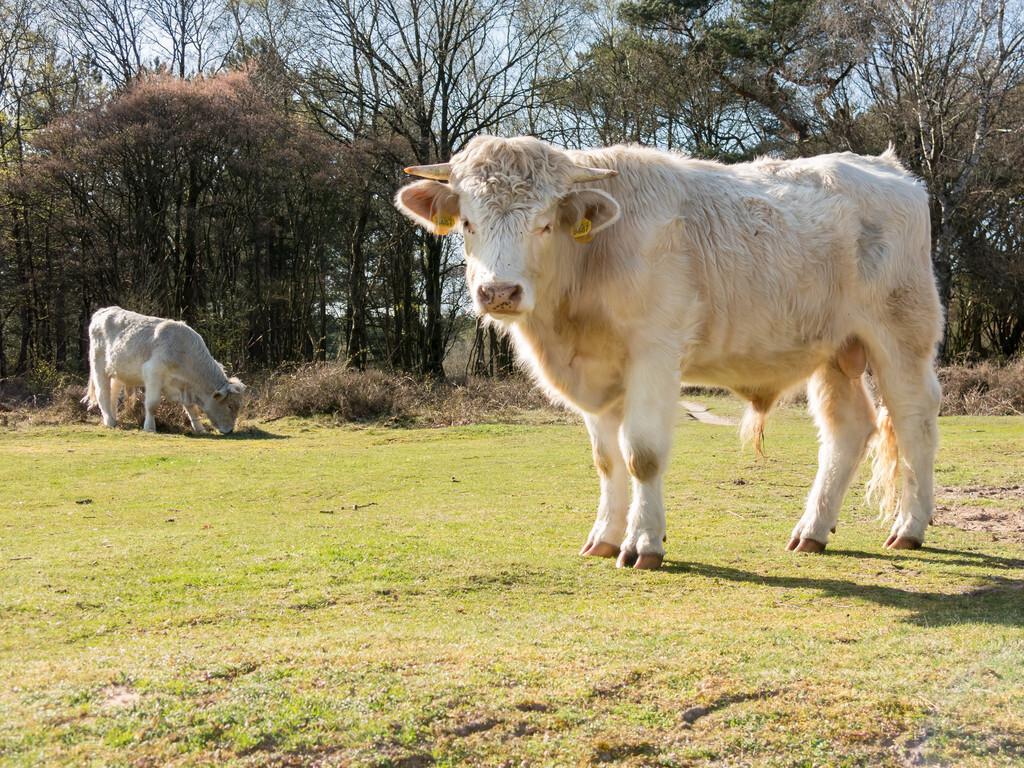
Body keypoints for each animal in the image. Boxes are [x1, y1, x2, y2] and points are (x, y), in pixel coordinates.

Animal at [82, 305, 245, 434]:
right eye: (230, 406)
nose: (230, 430)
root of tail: (104, 310)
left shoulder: (183, 386)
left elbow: (191, 408)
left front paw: (199, 429)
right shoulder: (153, 372)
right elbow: (152, 404)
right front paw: (149, 427)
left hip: (118, 371)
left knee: (114, 393)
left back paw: (113, 418)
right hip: (98, 365)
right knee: (103, 393)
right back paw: (109, 421)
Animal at [395, 137, 937, 573]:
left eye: (544, 224)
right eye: (468, 221)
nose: (499, 292)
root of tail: (887, 168)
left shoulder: (653, 355)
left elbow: (642, 455)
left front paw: (643, 544)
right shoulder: (600, 374)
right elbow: (607, 460)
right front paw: (604, 537)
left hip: (902, 336)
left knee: (914, 423)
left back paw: (909, 528)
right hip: (834, 352)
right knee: (848, 430)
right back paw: (812, 532)